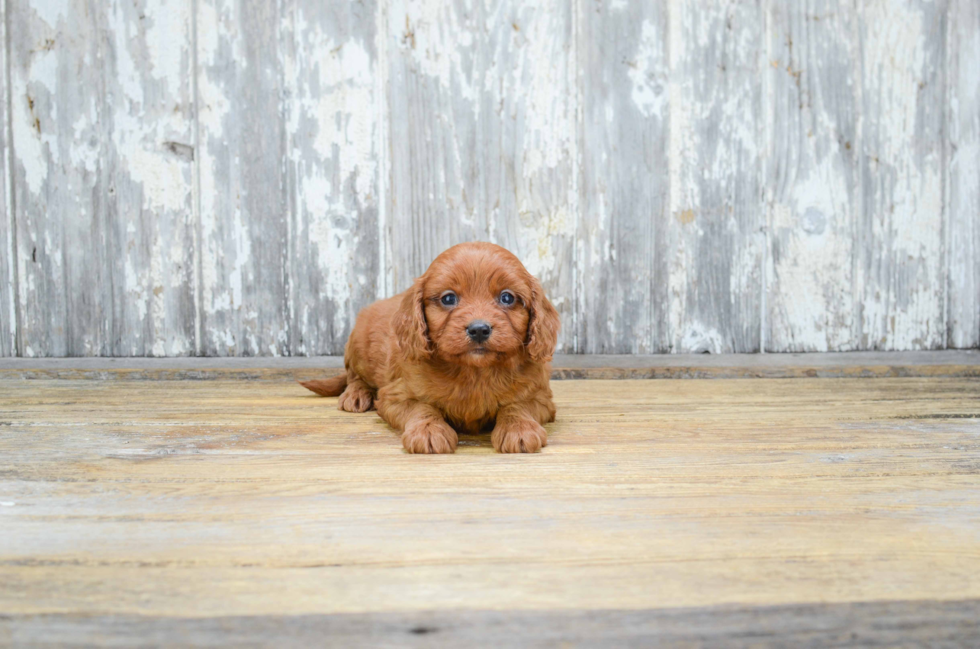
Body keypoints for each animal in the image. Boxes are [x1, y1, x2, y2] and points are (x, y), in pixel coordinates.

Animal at [298, 240, 560, 454]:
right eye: (448, 298)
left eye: (507, 298)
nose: (478, 329)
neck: (474, 371)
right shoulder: (396, 395)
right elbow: (421, 408)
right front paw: (428, 431)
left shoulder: (540, 397)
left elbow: (517, 406)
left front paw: (519, 428)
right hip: (358, 346)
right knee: (354, 376)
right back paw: (356, 394)